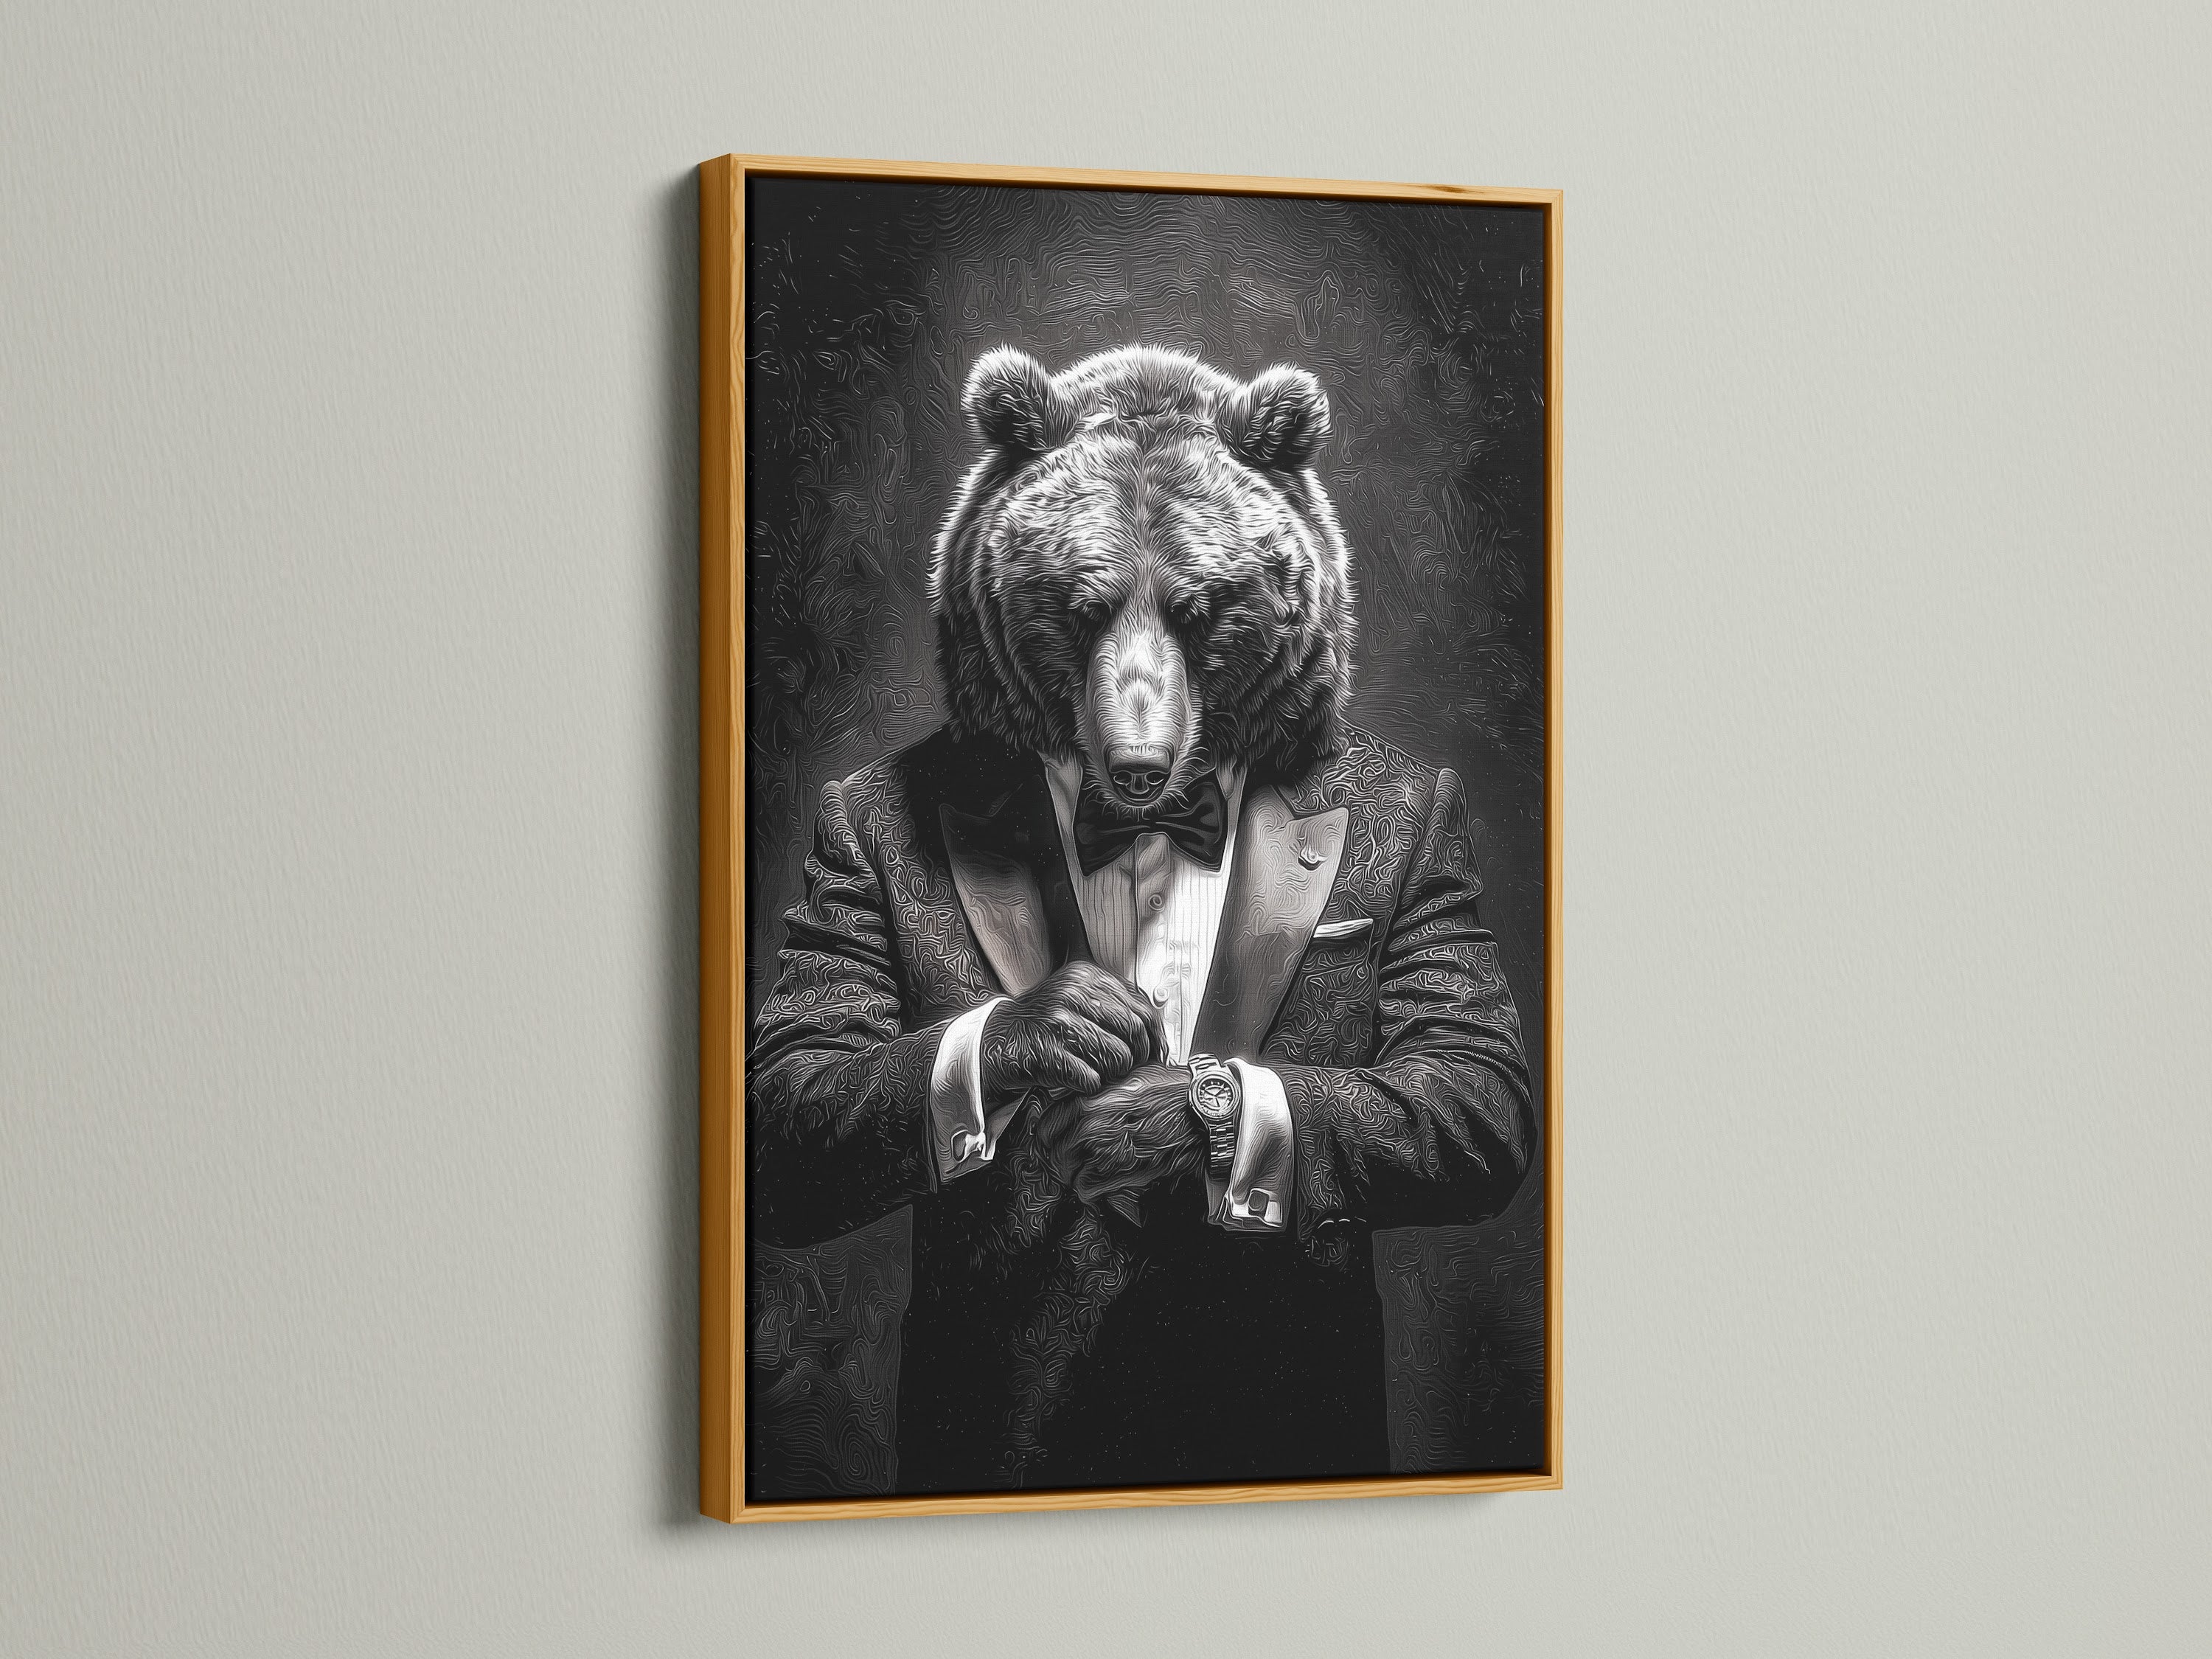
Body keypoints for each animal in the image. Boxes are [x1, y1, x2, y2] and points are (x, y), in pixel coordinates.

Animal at [748, 345, 1532, 1497]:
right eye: (1080, 606)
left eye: (1202, 608)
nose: (1137, 768)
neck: (1154, 824)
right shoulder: (847, 851)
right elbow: (801, 1071)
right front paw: (1070, 1020)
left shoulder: (1437, 851)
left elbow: (1466, 1072)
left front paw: (1150, 1111)